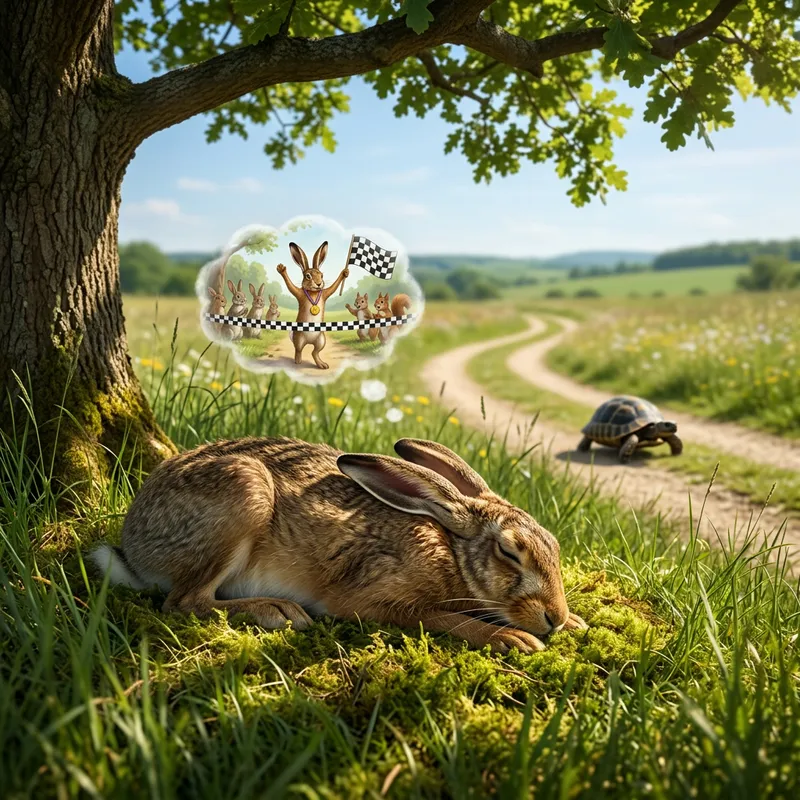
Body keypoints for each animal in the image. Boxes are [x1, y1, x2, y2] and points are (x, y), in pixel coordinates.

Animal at [90, 437, 588, 654]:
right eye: (510, 552)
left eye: (555, 547)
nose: (555, 617)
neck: (450, 549)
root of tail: (134, 547)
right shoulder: (370, 598)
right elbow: (440, 618)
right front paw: (512, 638)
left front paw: (578, 623)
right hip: (244, 493)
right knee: (183, 601)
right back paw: (276, 610)